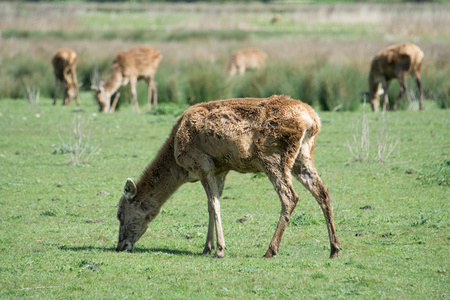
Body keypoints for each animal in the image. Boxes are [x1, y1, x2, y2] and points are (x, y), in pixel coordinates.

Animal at [116, 95, 342, 258]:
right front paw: (206, 247)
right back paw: (334, 249)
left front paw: (219, 249)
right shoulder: (220, 168)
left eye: (120, 214)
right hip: (303, 157)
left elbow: (214, 203)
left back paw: (270, 250)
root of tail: (312, 120)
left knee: (289, 196)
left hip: (272, 155)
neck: (177, 162)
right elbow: (211, 204)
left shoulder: (202, 163)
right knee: (322, 191)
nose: (120, 245)